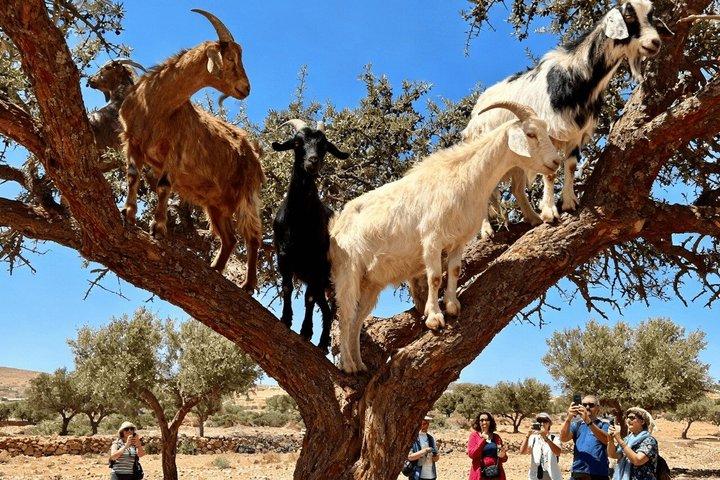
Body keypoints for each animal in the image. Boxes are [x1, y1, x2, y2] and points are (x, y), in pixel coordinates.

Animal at [120, 9, 264, 289]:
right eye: (230, 57)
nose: (246, 88)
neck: (155, 106)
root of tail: (254, 155)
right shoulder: (133, 142)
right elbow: (132, 176)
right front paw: (128, 213)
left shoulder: (174, 152)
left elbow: (163, 186)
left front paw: (158, 227)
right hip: (216, 204)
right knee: (229, 237)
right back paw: (216, 268)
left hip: (246, 193)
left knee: (252, 235)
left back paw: (248, 284)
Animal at [271, 119, 350, 353]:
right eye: (297, 143)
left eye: (324, 147)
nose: (313, 161)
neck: (299, 224)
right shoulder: (284, 257)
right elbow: (287, 287)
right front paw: (286, 318)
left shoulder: (316, 264)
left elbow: (308, 298)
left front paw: (306, 330)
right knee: (326, 309)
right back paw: (323, 344)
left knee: (333, 309)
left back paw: (323, 342)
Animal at [330, 102, 561, 373]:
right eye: (531, 134)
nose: (556, 161)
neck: (466, 178)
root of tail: (336, 227)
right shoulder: (431, 239)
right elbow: (434, 278)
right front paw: (434, 318)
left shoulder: (459, 240)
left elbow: (454, 270)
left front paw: (452, 306)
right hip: (348, 271)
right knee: (345, 316)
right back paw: (348, 365)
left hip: (371, 282)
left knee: (357, 320)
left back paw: (360, 364)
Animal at [462, 0, 665, 237]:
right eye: (630, 16)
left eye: (651, 16)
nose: (655, 42)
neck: (576, 78)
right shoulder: (548, 132)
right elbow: (550, 173)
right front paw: (550, 213)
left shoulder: (577, 132)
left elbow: (570, 165)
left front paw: (569, 202)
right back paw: (487, 230)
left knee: (516, 188)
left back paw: (531, 218)